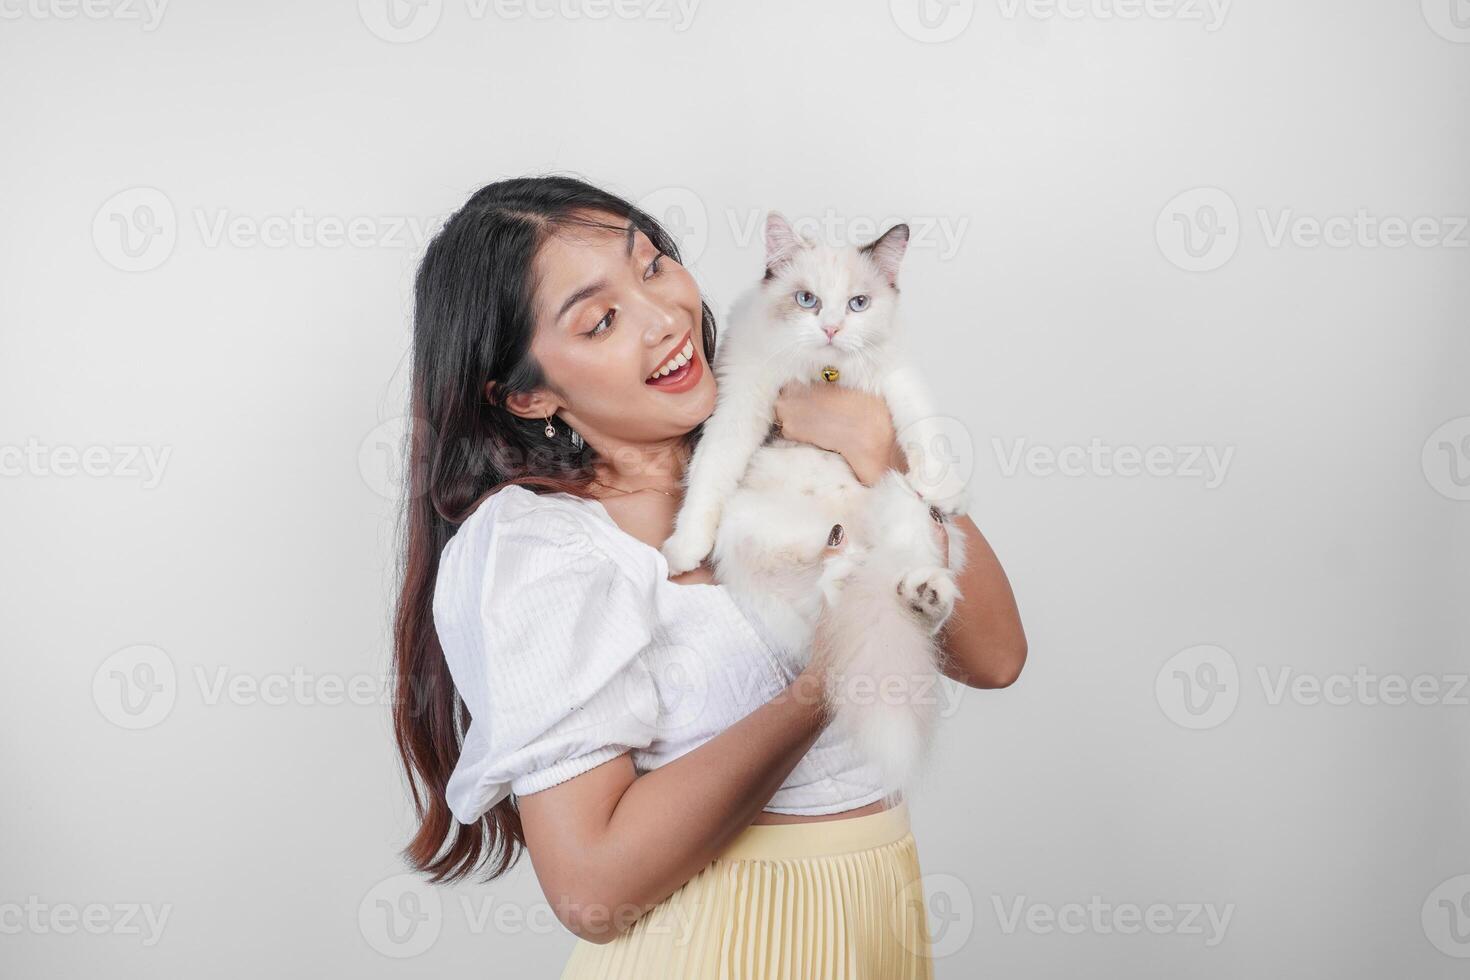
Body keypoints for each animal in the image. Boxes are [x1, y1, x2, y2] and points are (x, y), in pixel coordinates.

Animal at [661, 213, 970, 787]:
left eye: (858, 304)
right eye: (807, 300)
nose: (830, 329)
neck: (826, 375)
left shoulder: (897, 377)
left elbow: (923, 427)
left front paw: (944, 485)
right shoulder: (743, 398)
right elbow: (710, 470)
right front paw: (683, 548)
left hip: (902, 507)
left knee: (907, 595)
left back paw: (917, 593)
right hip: (757, 536)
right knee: (815, 610)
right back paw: (840, 572)